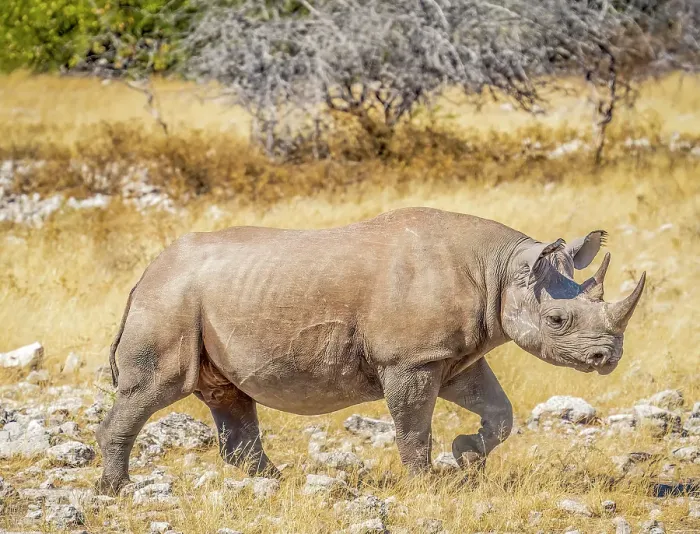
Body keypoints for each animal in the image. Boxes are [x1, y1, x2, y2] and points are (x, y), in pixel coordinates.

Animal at [96, 207, 645, 494]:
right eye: (557, 321)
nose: (606, 359)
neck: (501, 268)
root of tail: (146, 274)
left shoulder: (453, 354)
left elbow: (499, 412)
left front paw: (467, 456)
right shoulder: (411, 358)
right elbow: (413, 426)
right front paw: (427, 485)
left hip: (200, 300)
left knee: (228, 395)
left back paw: (278, 483)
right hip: (170, 302)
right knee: (155, 388)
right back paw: (116, 491)